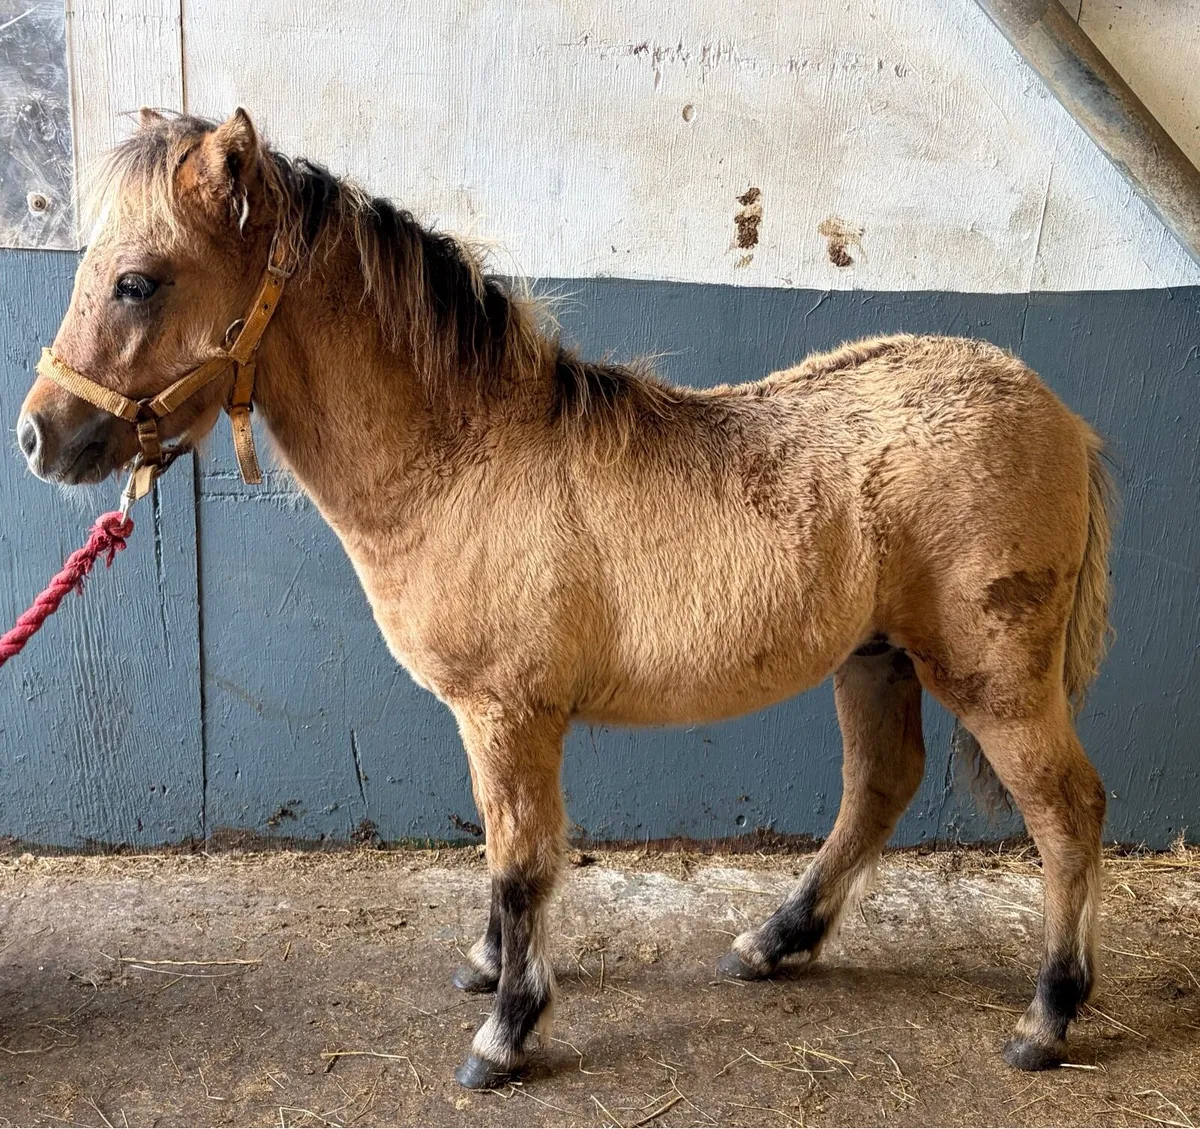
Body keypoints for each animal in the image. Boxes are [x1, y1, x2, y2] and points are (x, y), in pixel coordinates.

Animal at [17, 109, 1114, 1089]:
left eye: (138, 281)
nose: (38, 435)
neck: (465, 463)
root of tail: (1053, 408)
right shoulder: (496, 720)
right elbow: (503, 853)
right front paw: (490, 967)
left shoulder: (511, 712)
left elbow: (520, 863)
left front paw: (507, 1032)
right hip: (875, 656)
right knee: (879, 786)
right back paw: (771, 941)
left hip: (994, 672)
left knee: (1067, 811)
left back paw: (1047, 1017)